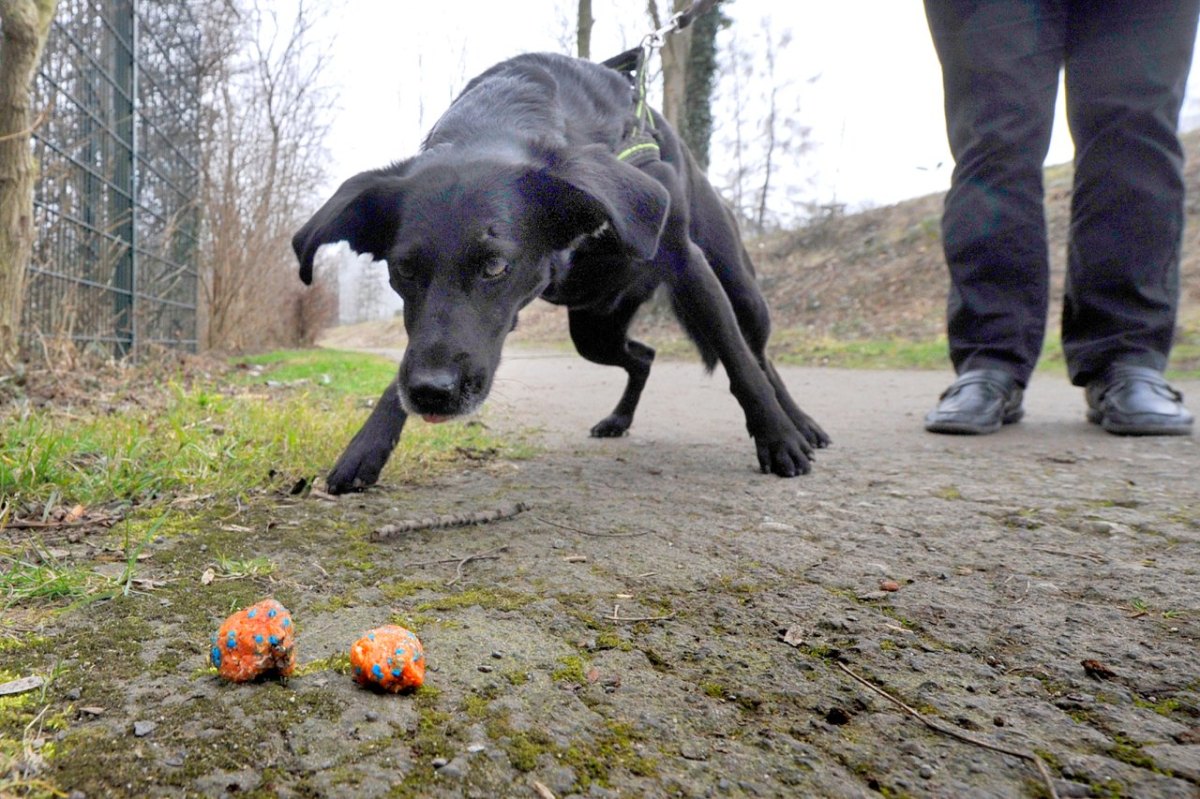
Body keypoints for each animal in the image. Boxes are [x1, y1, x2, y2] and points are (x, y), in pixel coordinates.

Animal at [295, 51, 830, 491]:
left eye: (495, 265)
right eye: (403, 269)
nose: (431, 393)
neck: (500, 113)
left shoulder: (686, 260)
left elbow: (739, 363)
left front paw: (778, 439)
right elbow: (407, 361)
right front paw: (365, 448)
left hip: (737, 290)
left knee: (758, 354)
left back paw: (800, 423)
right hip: (593, 332)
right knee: (644, 356)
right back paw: (618, 420)